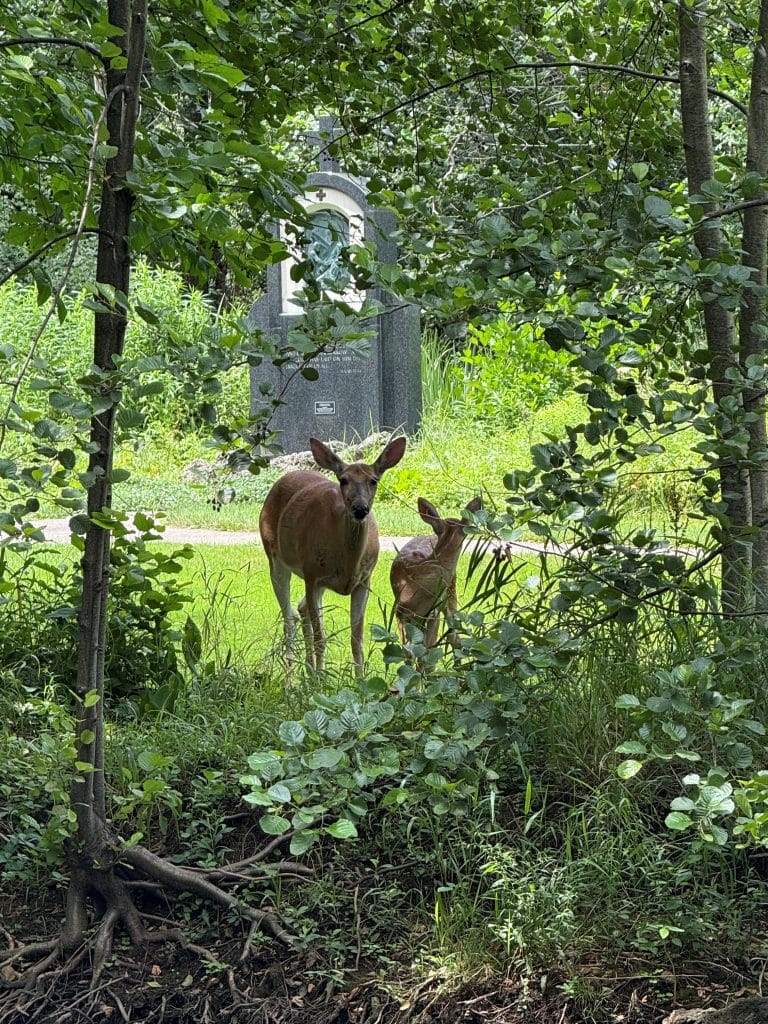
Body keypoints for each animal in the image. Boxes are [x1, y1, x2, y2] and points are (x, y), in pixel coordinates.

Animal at [259, 435, 407, 673]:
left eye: (374, 480)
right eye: (343, 480)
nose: (360, 508)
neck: (347, 564)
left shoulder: (364, 580)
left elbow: (357, 639)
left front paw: (359, 679)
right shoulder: (312, 576)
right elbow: (321, 637)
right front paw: (321, 679)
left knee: (300, 608)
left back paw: (308, 670)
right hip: (274, 556)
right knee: (288, 618)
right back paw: (292, 676)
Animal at [390, 496, 482, 650]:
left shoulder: (434, 612)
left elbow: (427, 649)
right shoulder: (400, 612)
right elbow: (409, 649)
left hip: (450, 592)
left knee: (454, 634)